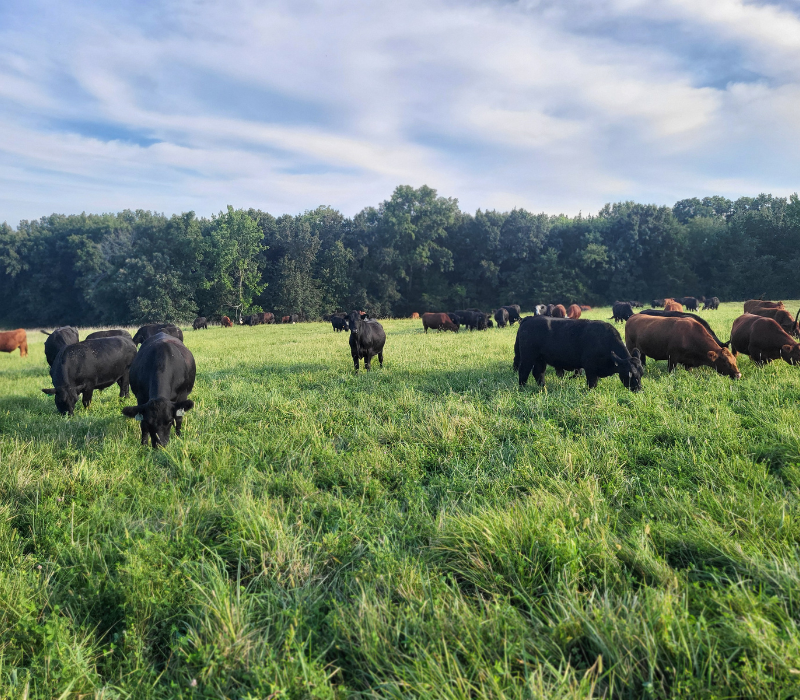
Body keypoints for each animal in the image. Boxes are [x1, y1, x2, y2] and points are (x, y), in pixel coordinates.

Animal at [513, 316, 643, 391]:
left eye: (641, 373)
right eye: (630, 374)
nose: (639, 390)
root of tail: (529, 319)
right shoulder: (590, 368)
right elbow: (592, 383)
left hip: (540, 358)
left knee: (538, 373)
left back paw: (543, 388)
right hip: (528, 356)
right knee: (523, 371)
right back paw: (522, 388)